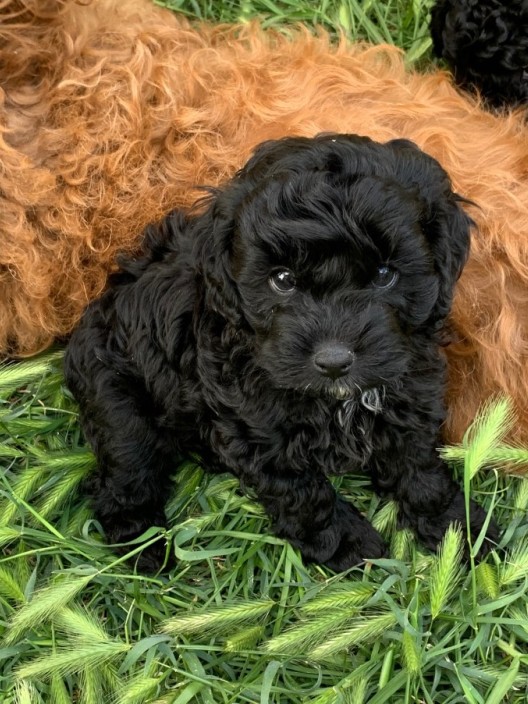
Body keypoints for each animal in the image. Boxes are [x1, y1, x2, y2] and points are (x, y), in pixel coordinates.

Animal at [63, 133, 500, 572]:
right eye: (283, 279)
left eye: (384, 274)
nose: (334, 362)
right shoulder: (255, 430)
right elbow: (300, 492)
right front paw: (344, 542)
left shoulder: (410, 391)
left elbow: (418, 465)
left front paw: (456, 527)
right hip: (118, 400)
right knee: (127, 471)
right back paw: (145, 547)